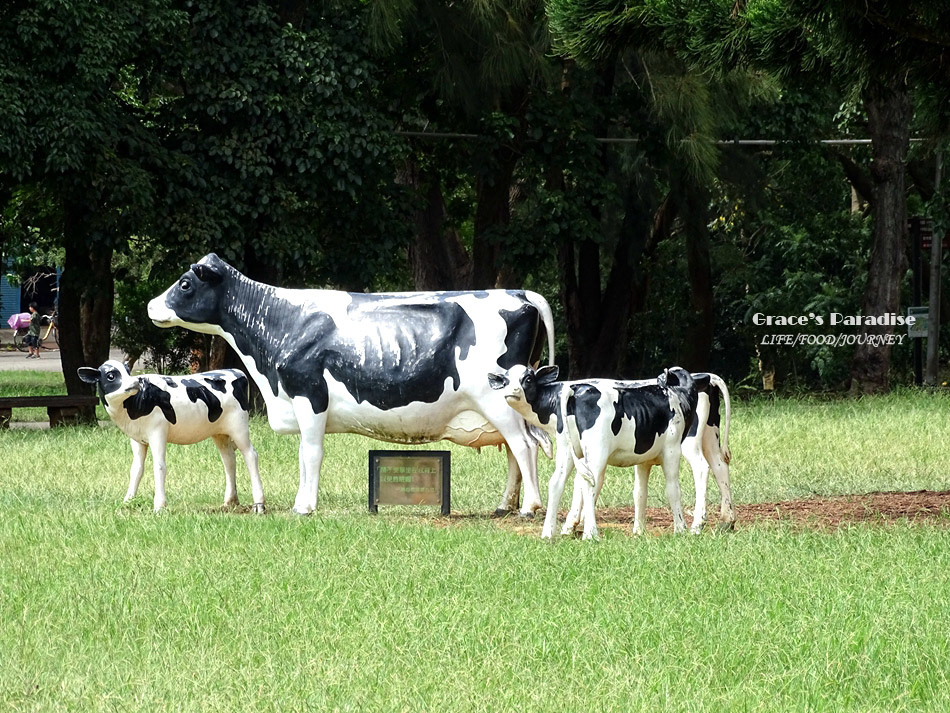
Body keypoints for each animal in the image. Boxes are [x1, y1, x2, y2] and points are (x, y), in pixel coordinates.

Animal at [77, 362, 264, 512]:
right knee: (229, 460)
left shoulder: (157, 431)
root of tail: (235, 370)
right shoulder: (137, 439)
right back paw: (230, 501)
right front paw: (127, 501)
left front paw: (159, 506)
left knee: (250, 455)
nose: (135, 382)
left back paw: (259, 504)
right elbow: (136, 469)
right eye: (111, 375)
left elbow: (159, 467)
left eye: (128, 371)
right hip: (220, 433)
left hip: (239, 427)